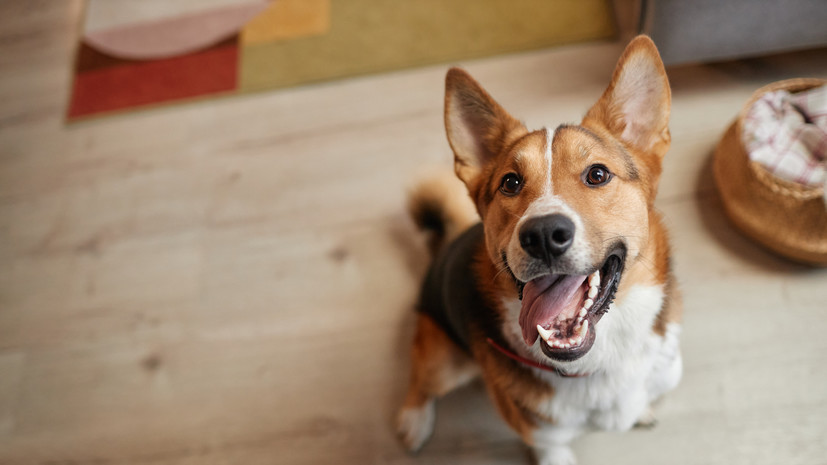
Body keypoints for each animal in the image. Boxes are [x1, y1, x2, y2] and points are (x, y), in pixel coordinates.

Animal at [398, 37, 684, 464]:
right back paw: (414, 420)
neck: (599, 362)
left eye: (597, 174)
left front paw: (642, 411)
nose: (544, 234)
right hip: (444, 359)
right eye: (510, 183)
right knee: (419, 380)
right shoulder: (549, 444)